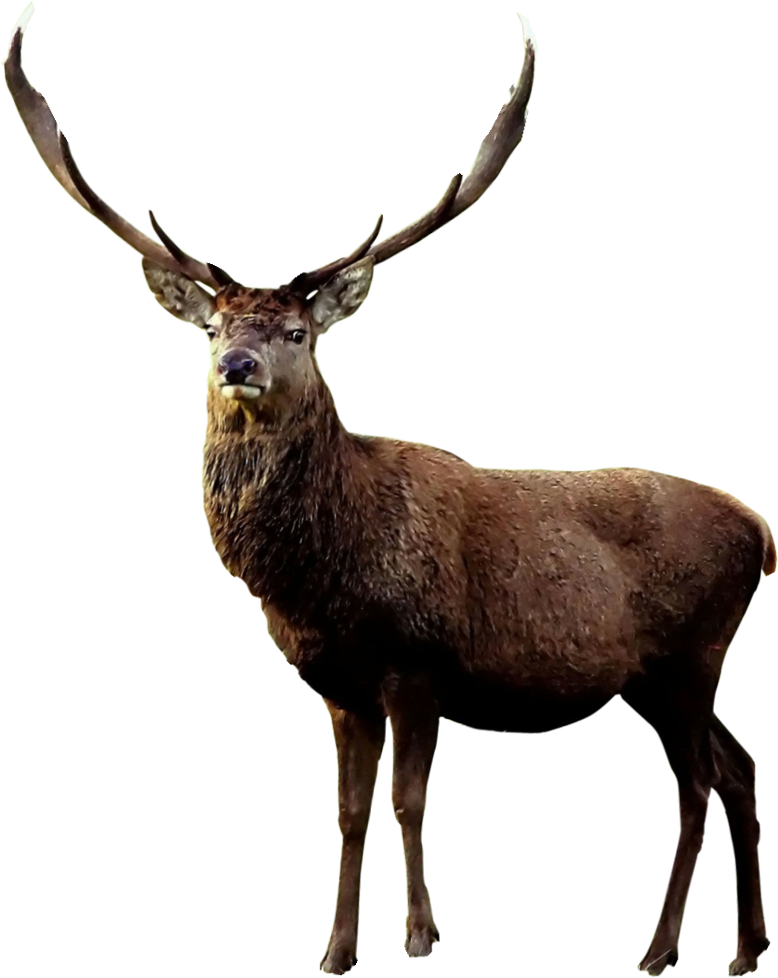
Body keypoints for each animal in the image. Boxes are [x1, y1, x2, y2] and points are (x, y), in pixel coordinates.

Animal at [5, 5, 772, 975]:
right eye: (211, 326)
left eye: (298, 332)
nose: (236, 365)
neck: (322, 582)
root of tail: (763, 530)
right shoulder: (338, 685)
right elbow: (346, 814)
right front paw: (336, 949)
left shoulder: (420, 662)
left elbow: (409, 802)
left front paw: (419, 935)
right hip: (657, 674)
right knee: (740, 767)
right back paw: (746, 948)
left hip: (693, 651)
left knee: (701, 784)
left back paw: (661, 949)